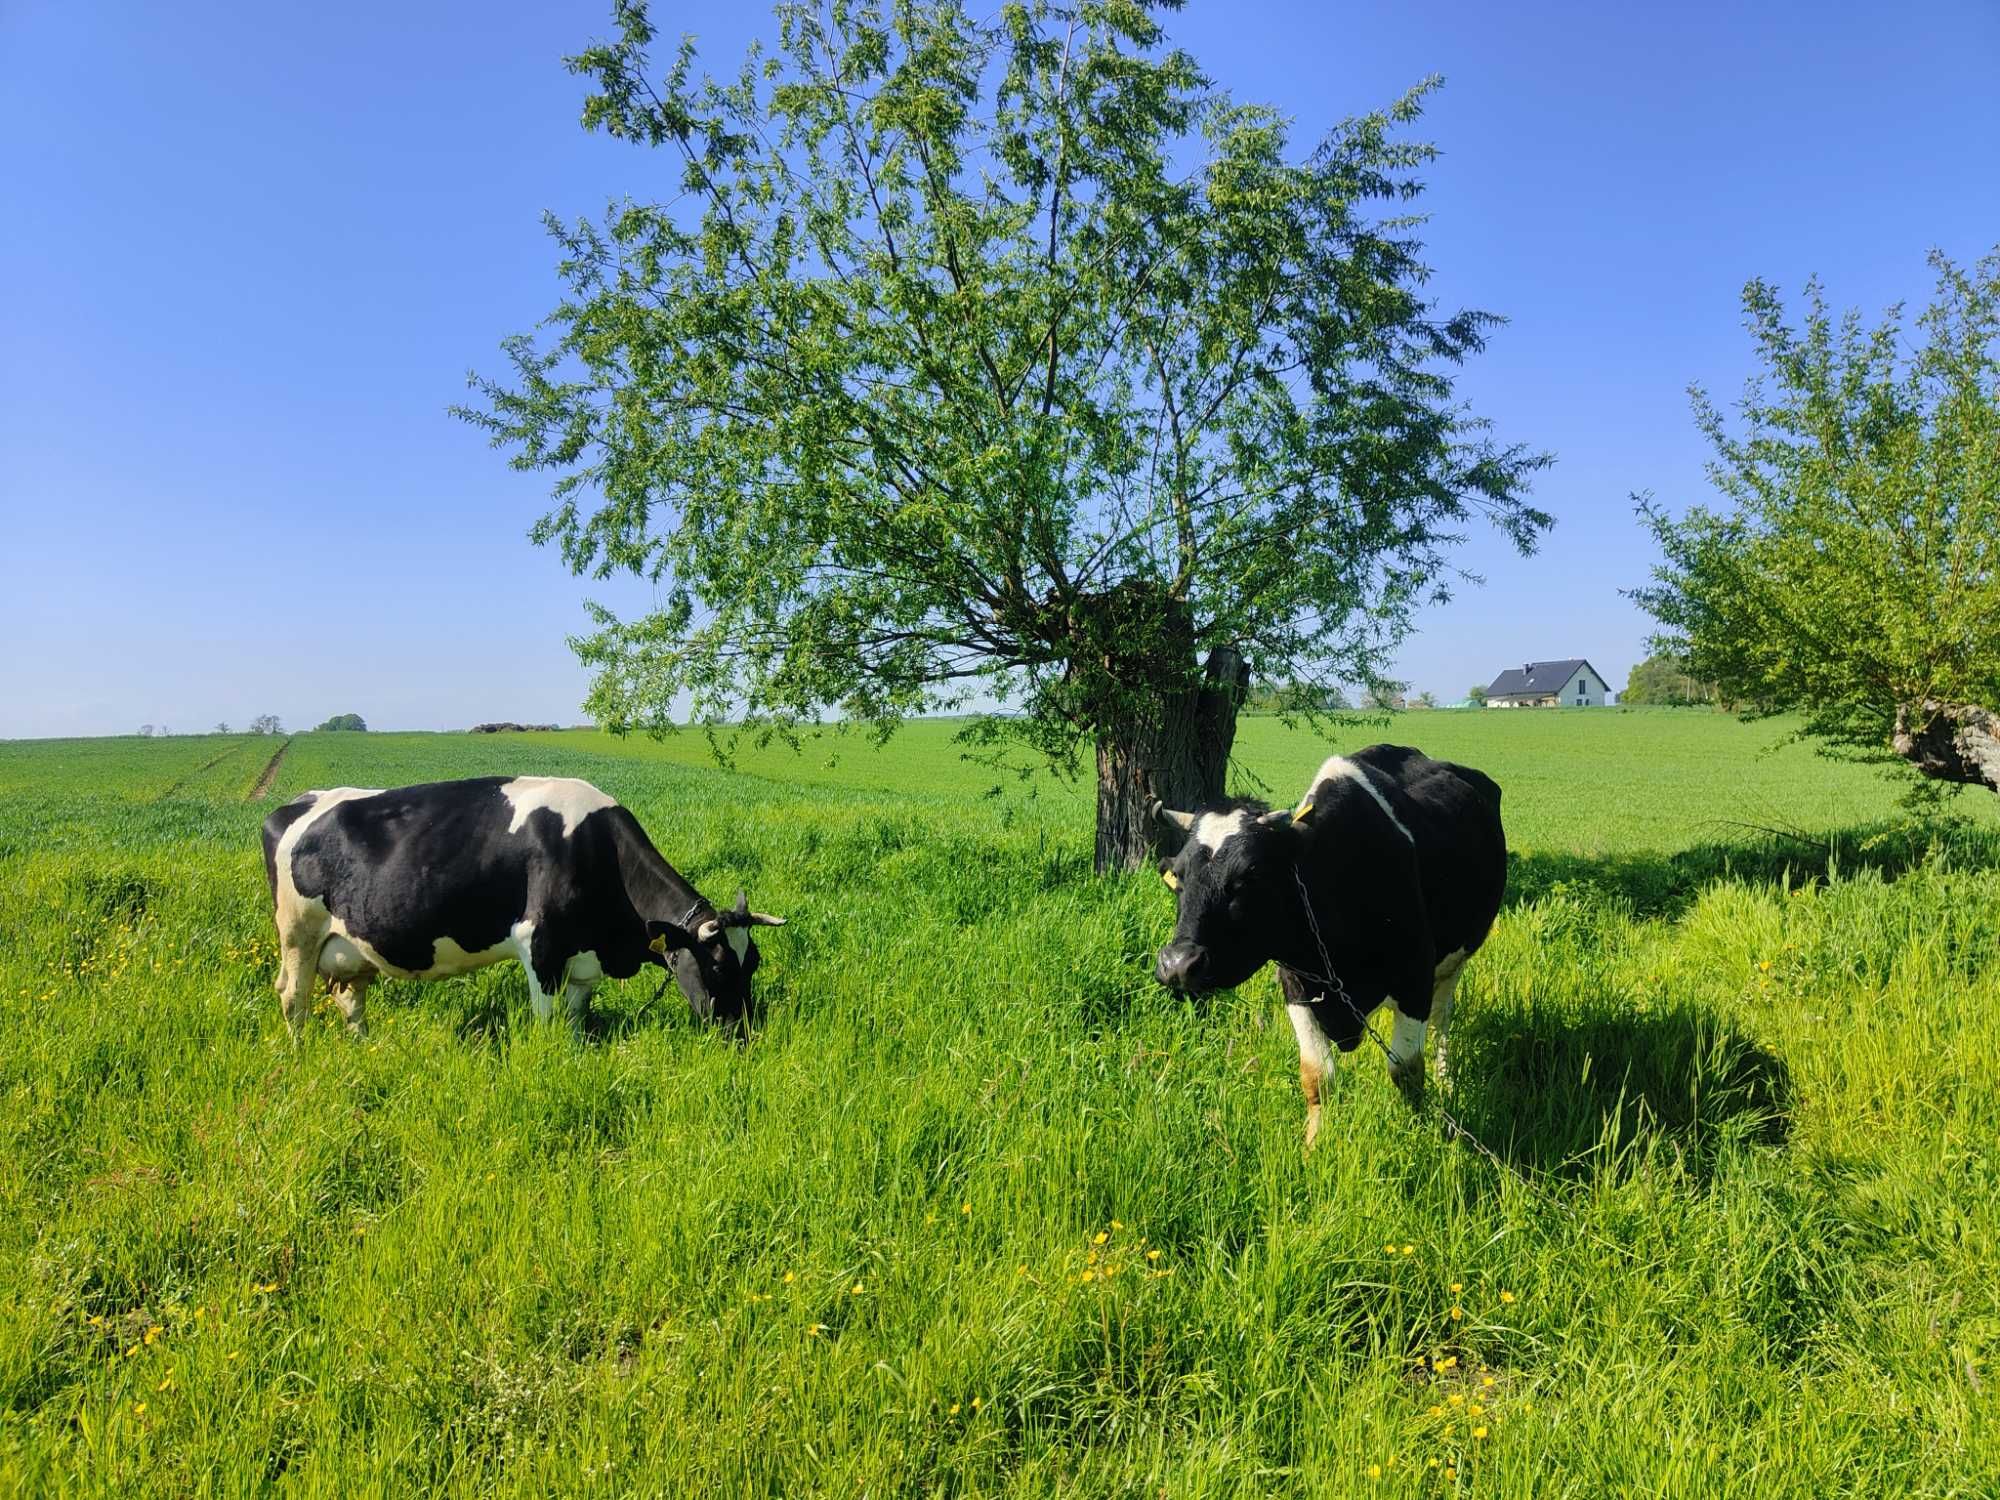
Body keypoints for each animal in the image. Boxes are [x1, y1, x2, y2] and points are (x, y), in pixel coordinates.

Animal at [252, 780, 780, 1040]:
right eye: (717, 966)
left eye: (753, 962)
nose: (743, 1033)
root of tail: (294, 804)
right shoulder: (540, 946)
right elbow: (547, 1022)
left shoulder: (582, 959)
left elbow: (575, 1021)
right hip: (298, 933)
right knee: (293, 997)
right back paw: (301, 1054)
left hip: (348, 947)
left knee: (348, 997)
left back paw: (365, 1046)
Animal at [1160, 748, 1504, 1152]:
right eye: (1177, 876)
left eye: (1250, 873)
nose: (1178, 963)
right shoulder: (1296, 984)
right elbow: (1316, 1075)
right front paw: (1312, 1144)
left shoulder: (1414, 980)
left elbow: (1405, 1070)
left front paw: (1417, 1132)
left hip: (1455, 961)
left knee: (1441, 1020)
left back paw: (1446, 1079)